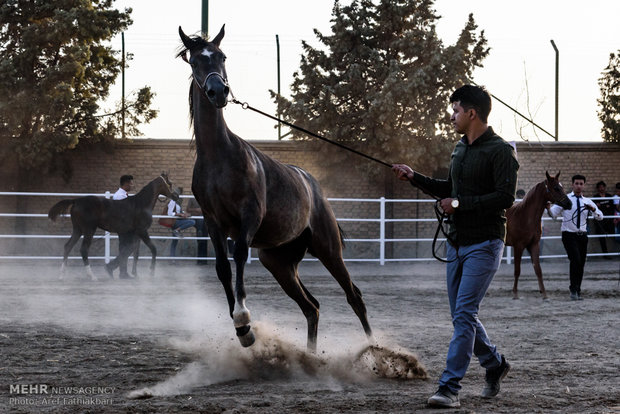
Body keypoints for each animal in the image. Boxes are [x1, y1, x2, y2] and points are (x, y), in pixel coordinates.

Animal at [49, 173, 177, 280]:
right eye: (170, 183)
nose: (176, 196)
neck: (141, 204)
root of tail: (76, 201)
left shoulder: (135, 233)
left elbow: (134, 252)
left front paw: (134, 273)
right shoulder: (142, 231)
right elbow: (152, 249)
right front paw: (151, 272)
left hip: (78, 229)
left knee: (68, 246)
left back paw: (62, 275)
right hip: (89, 230)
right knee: (84, 249)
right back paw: (92, 276)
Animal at [178, 24, 372, 350]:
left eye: (222, 56)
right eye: (194, 61)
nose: (219, 91)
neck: (219, 157)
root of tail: (315, 189)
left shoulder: (249, 216)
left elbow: (239, 255)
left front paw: (243, 317)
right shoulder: (212, 221)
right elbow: (221, 267)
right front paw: (242, 329)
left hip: (328, 249)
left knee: (353, 297)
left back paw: (376, 349)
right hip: (278, 262)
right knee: (312, 307)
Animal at [506, 170, 568, 300]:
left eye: (562, 187)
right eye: (556, 188)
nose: (569, 204)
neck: (525, 216)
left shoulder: (534, 245)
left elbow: (538, 269)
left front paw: (544, 294)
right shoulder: (518, 246)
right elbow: (517, 270)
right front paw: (515, 294)